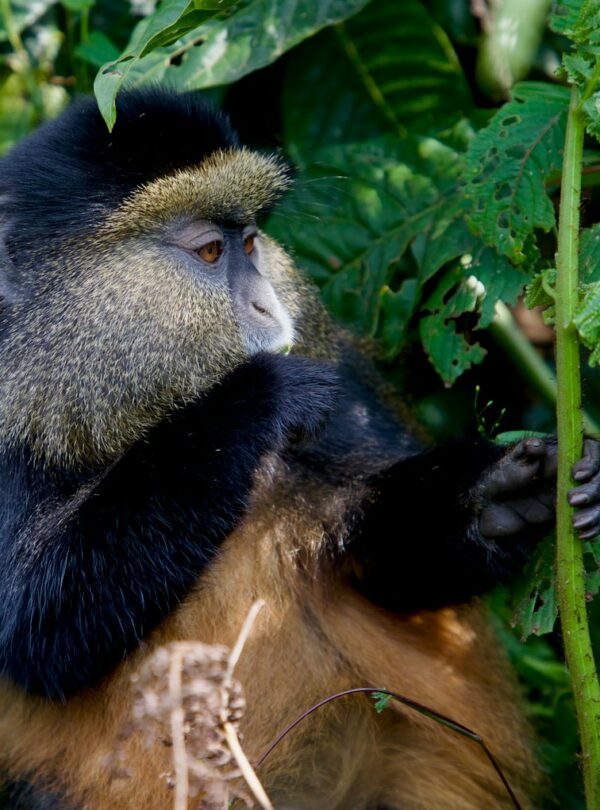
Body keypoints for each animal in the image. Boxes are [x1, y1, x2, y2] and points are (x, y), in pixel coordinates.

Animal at [0, 88, 599, 810]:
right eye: (209, 252)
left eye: (251, 242)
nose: (268, 305)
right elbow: (35, 628)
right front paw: (261, 394)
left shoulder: (343, 381)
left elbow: (385, 570)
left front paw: (502, 497)